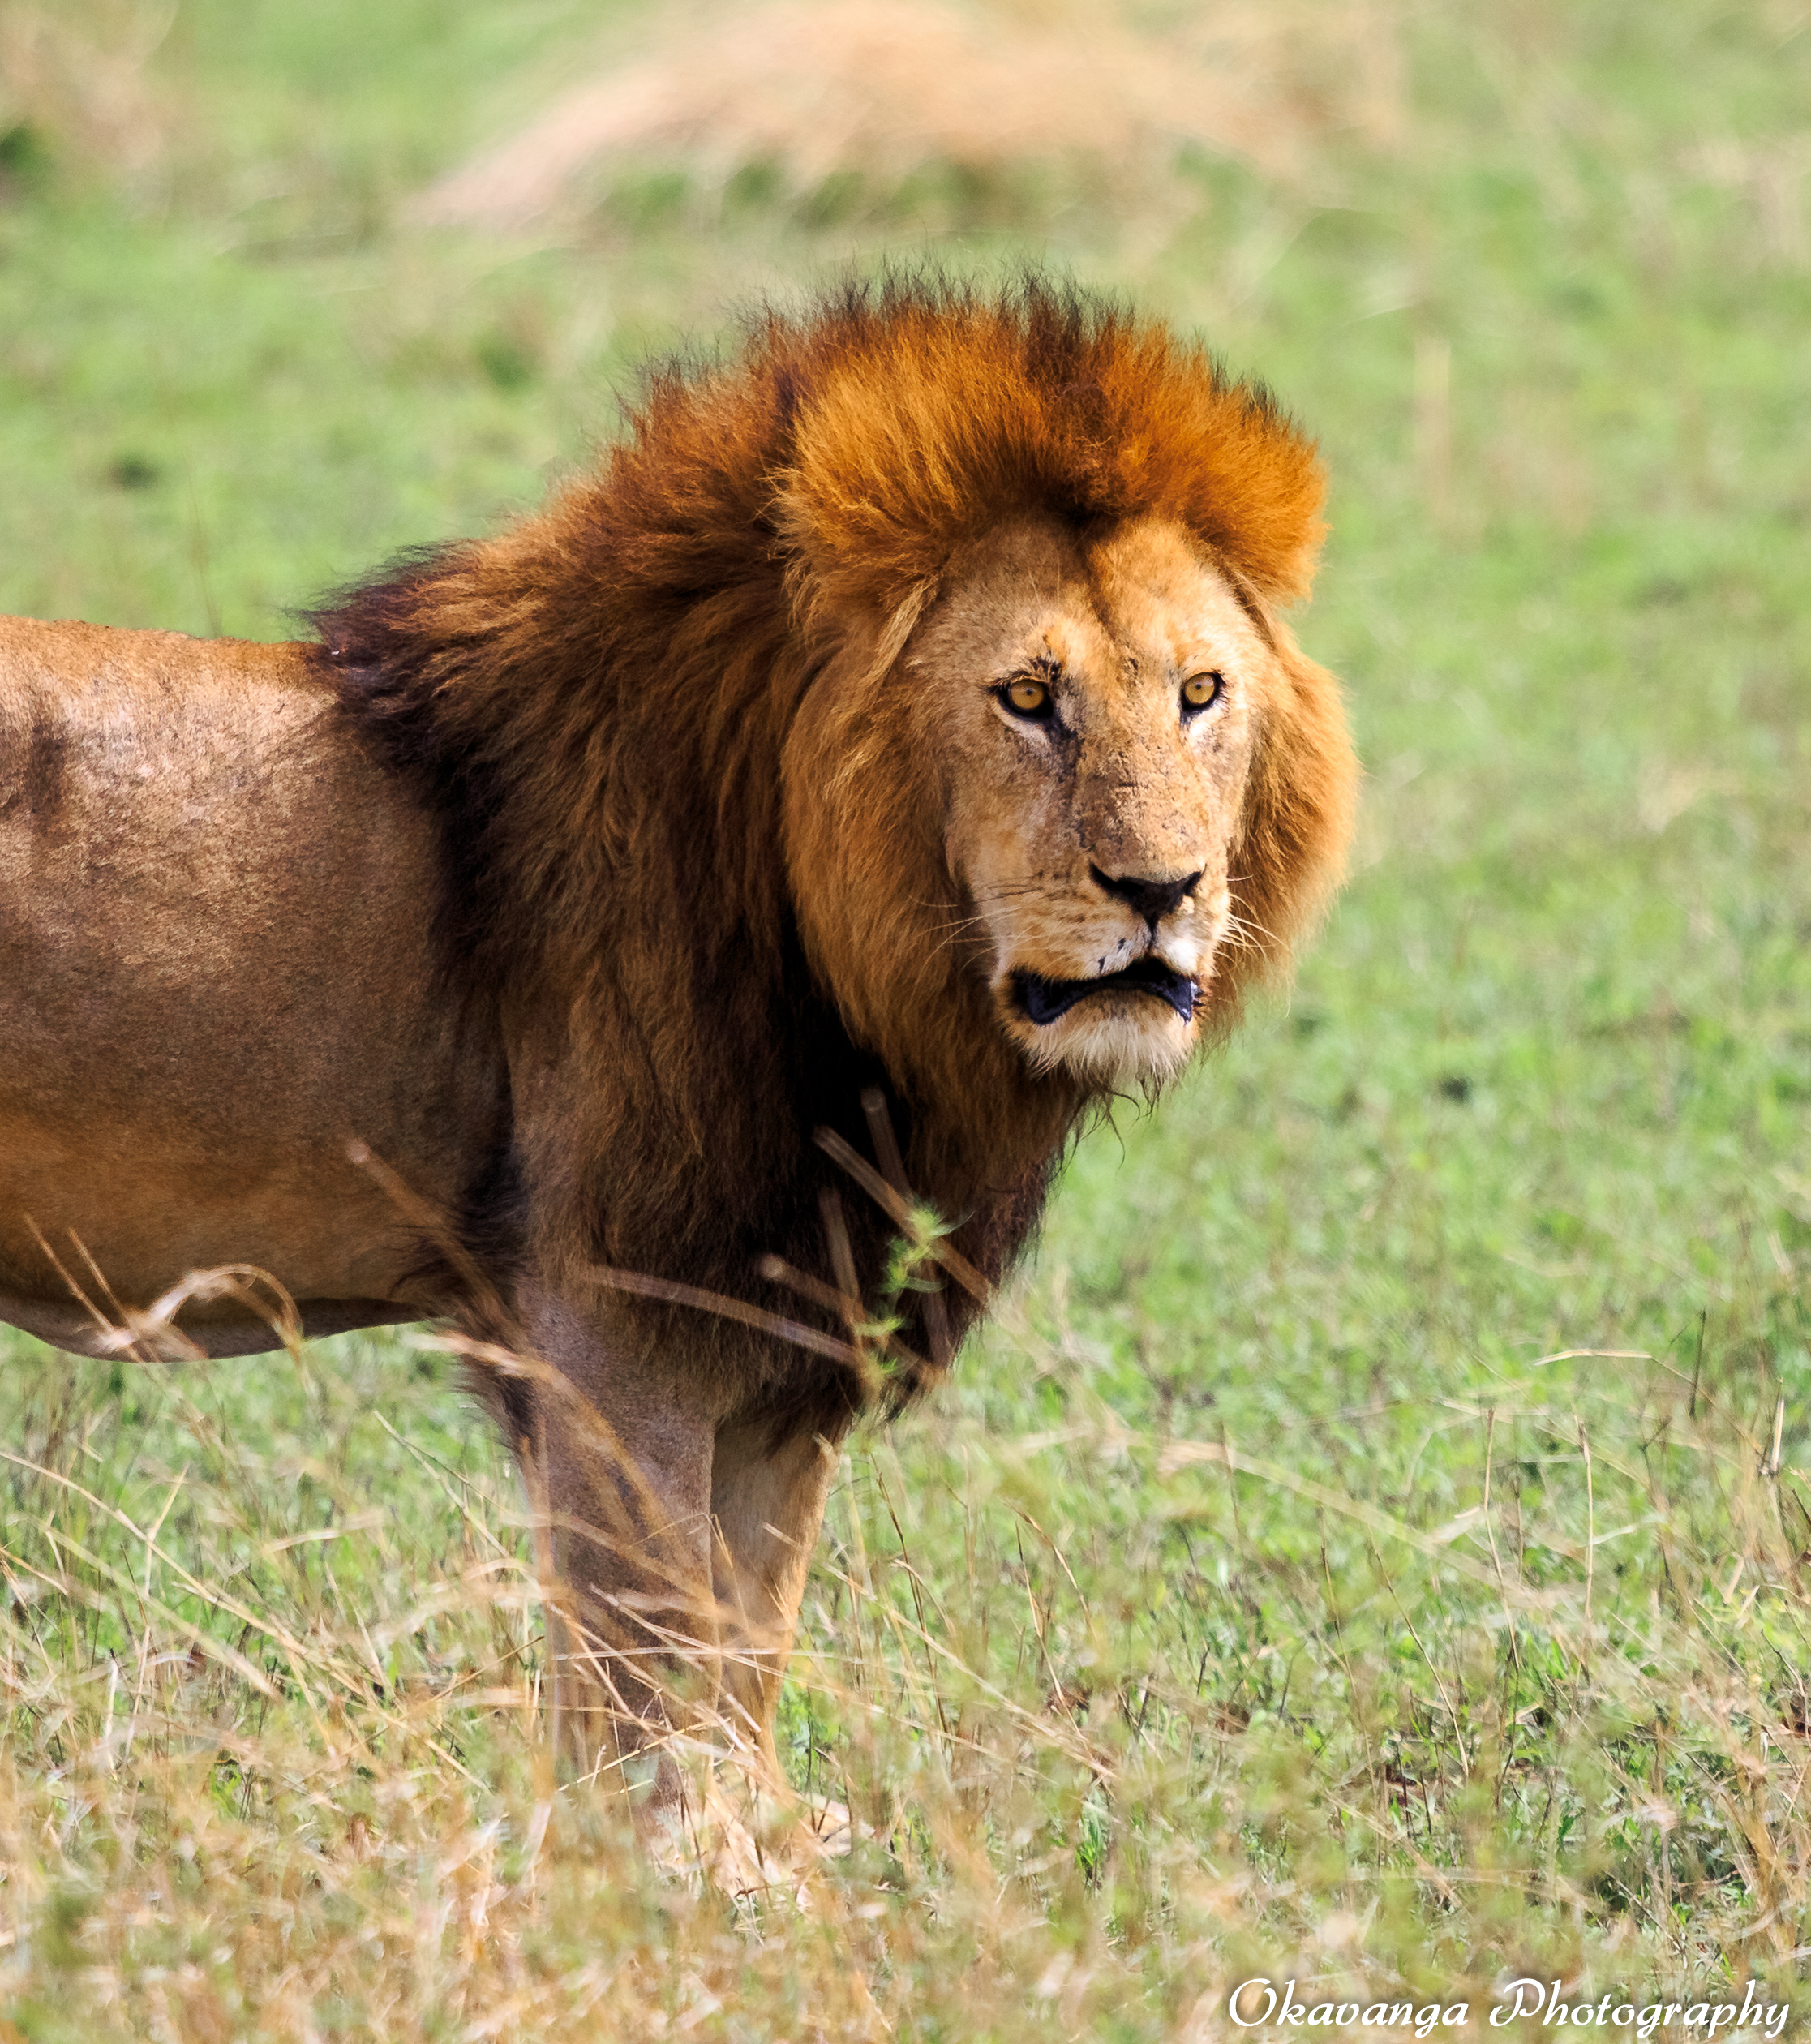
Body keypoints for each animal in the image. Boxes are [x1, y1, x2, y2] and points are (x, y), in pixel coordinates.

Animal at [0, 276, 1357, 1806]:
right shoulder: (605, 1321)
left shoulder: (786, 1339)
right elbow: (639, 1699)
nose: (1161, 892)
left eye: (1199, 693)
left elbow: (740, 1671)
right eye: (1027, 698)